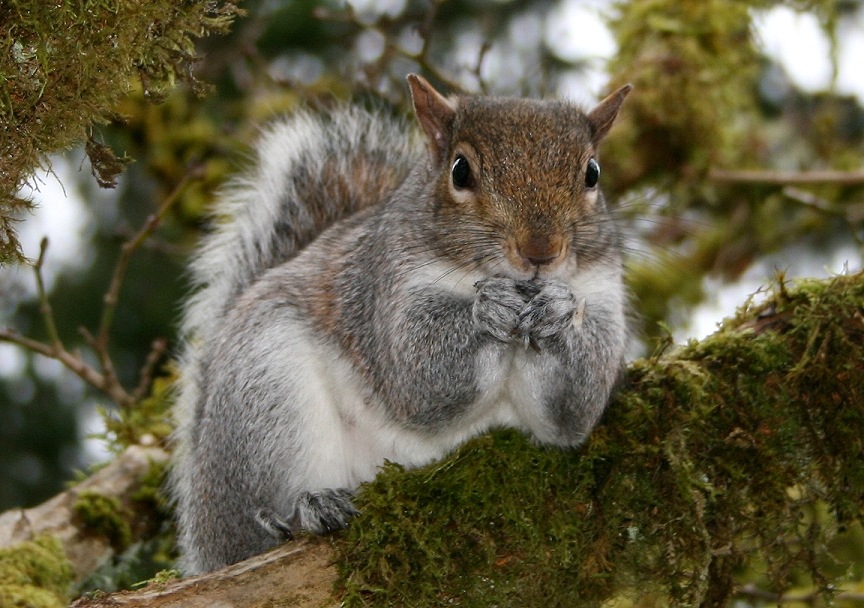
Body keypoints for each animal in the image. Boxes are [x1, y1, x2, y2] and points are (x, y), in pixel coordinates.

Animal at [170, 74, 632, 574]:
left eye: (592, 173)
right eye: (460, 171)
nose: (540, 252)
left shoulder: (603, 298)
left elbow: (572, 411)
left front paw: (558, 313)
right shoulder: (384, 290)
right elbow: (419, 380)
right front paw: (487, 310)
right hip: (264, 393)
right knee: (253, 528)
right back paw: (303, 511)